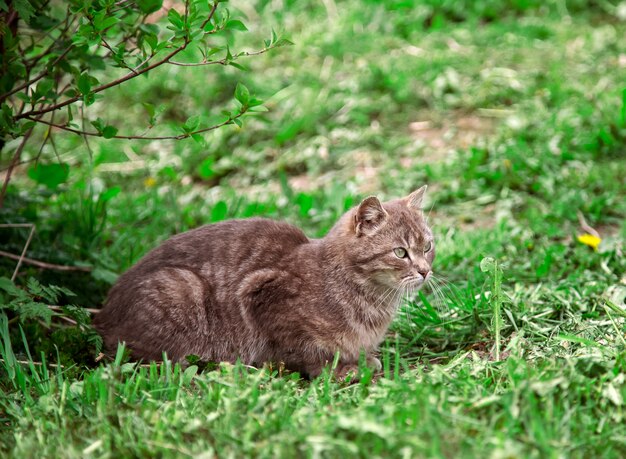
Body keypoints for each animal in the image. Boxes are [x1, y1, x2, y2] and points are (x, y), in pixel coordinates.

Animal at [94, 185, 434, 380]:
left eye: (428, 246)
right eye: (400, 252)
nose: (425, 271)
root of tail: (102, 314)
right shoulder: (261, 295)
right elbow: (305, 352)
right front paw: (338, 370)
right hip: (181, 288)